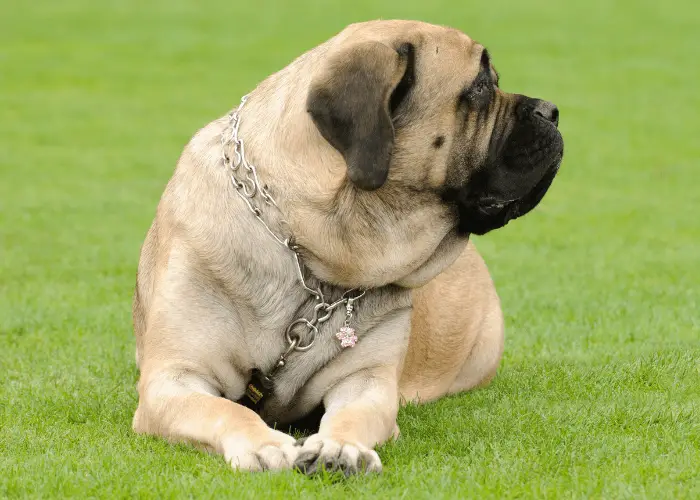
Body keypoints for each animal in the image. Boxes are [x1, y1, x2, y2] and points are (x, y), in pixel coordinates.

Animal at [131, 19, 564, 474]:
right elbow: (227, 409)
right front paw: (262, 444)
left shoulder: (366, 381)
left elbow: (355, 414)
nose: (552, 110)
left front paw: (340, 447)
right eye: (480, 86)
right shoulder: (172, 379)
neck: (314, 253)